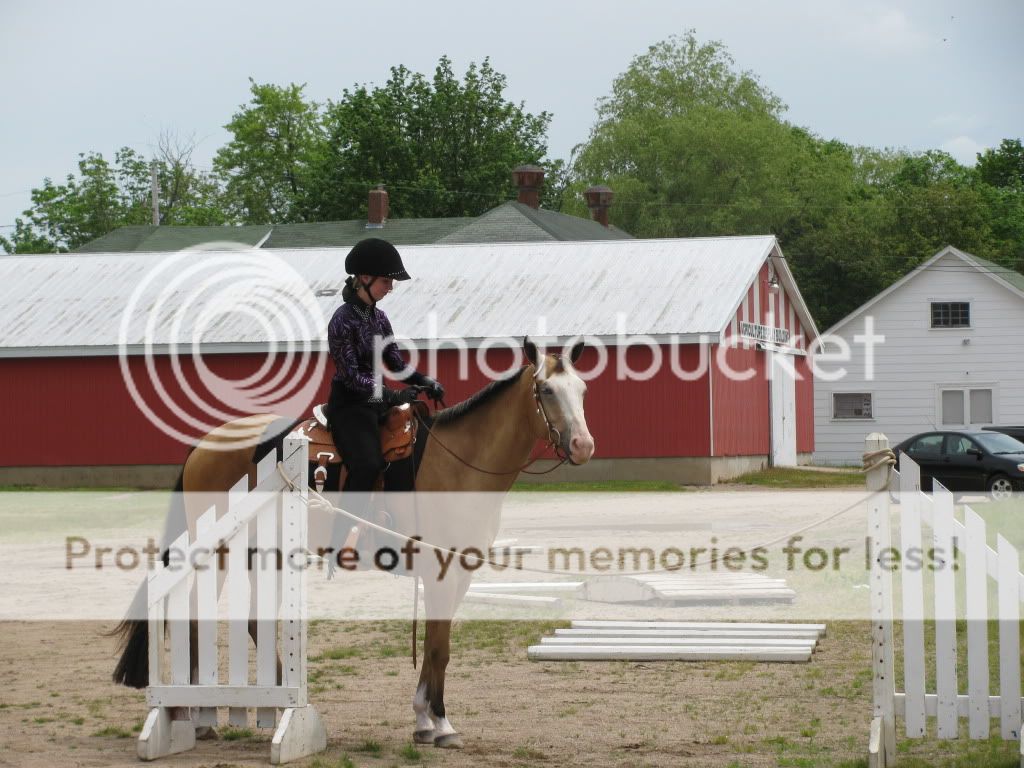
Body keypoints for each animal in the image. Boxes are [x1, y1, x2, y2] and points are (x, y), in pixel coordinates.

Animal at [111, 337, 593, 753]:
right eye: (546, 390)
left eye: (583, 389)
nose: (583, 446)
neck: (461, 463)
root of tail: (205, 446)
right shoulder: (440, 573)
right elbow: (440, 647)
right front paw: (441, 724)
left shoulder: (460, 575)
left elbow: (436, 647)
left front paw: (423, 720)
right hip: (220, 554)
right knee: (193, 617)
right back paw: (196, 714)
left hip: (263, 555)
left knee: (250, 622)